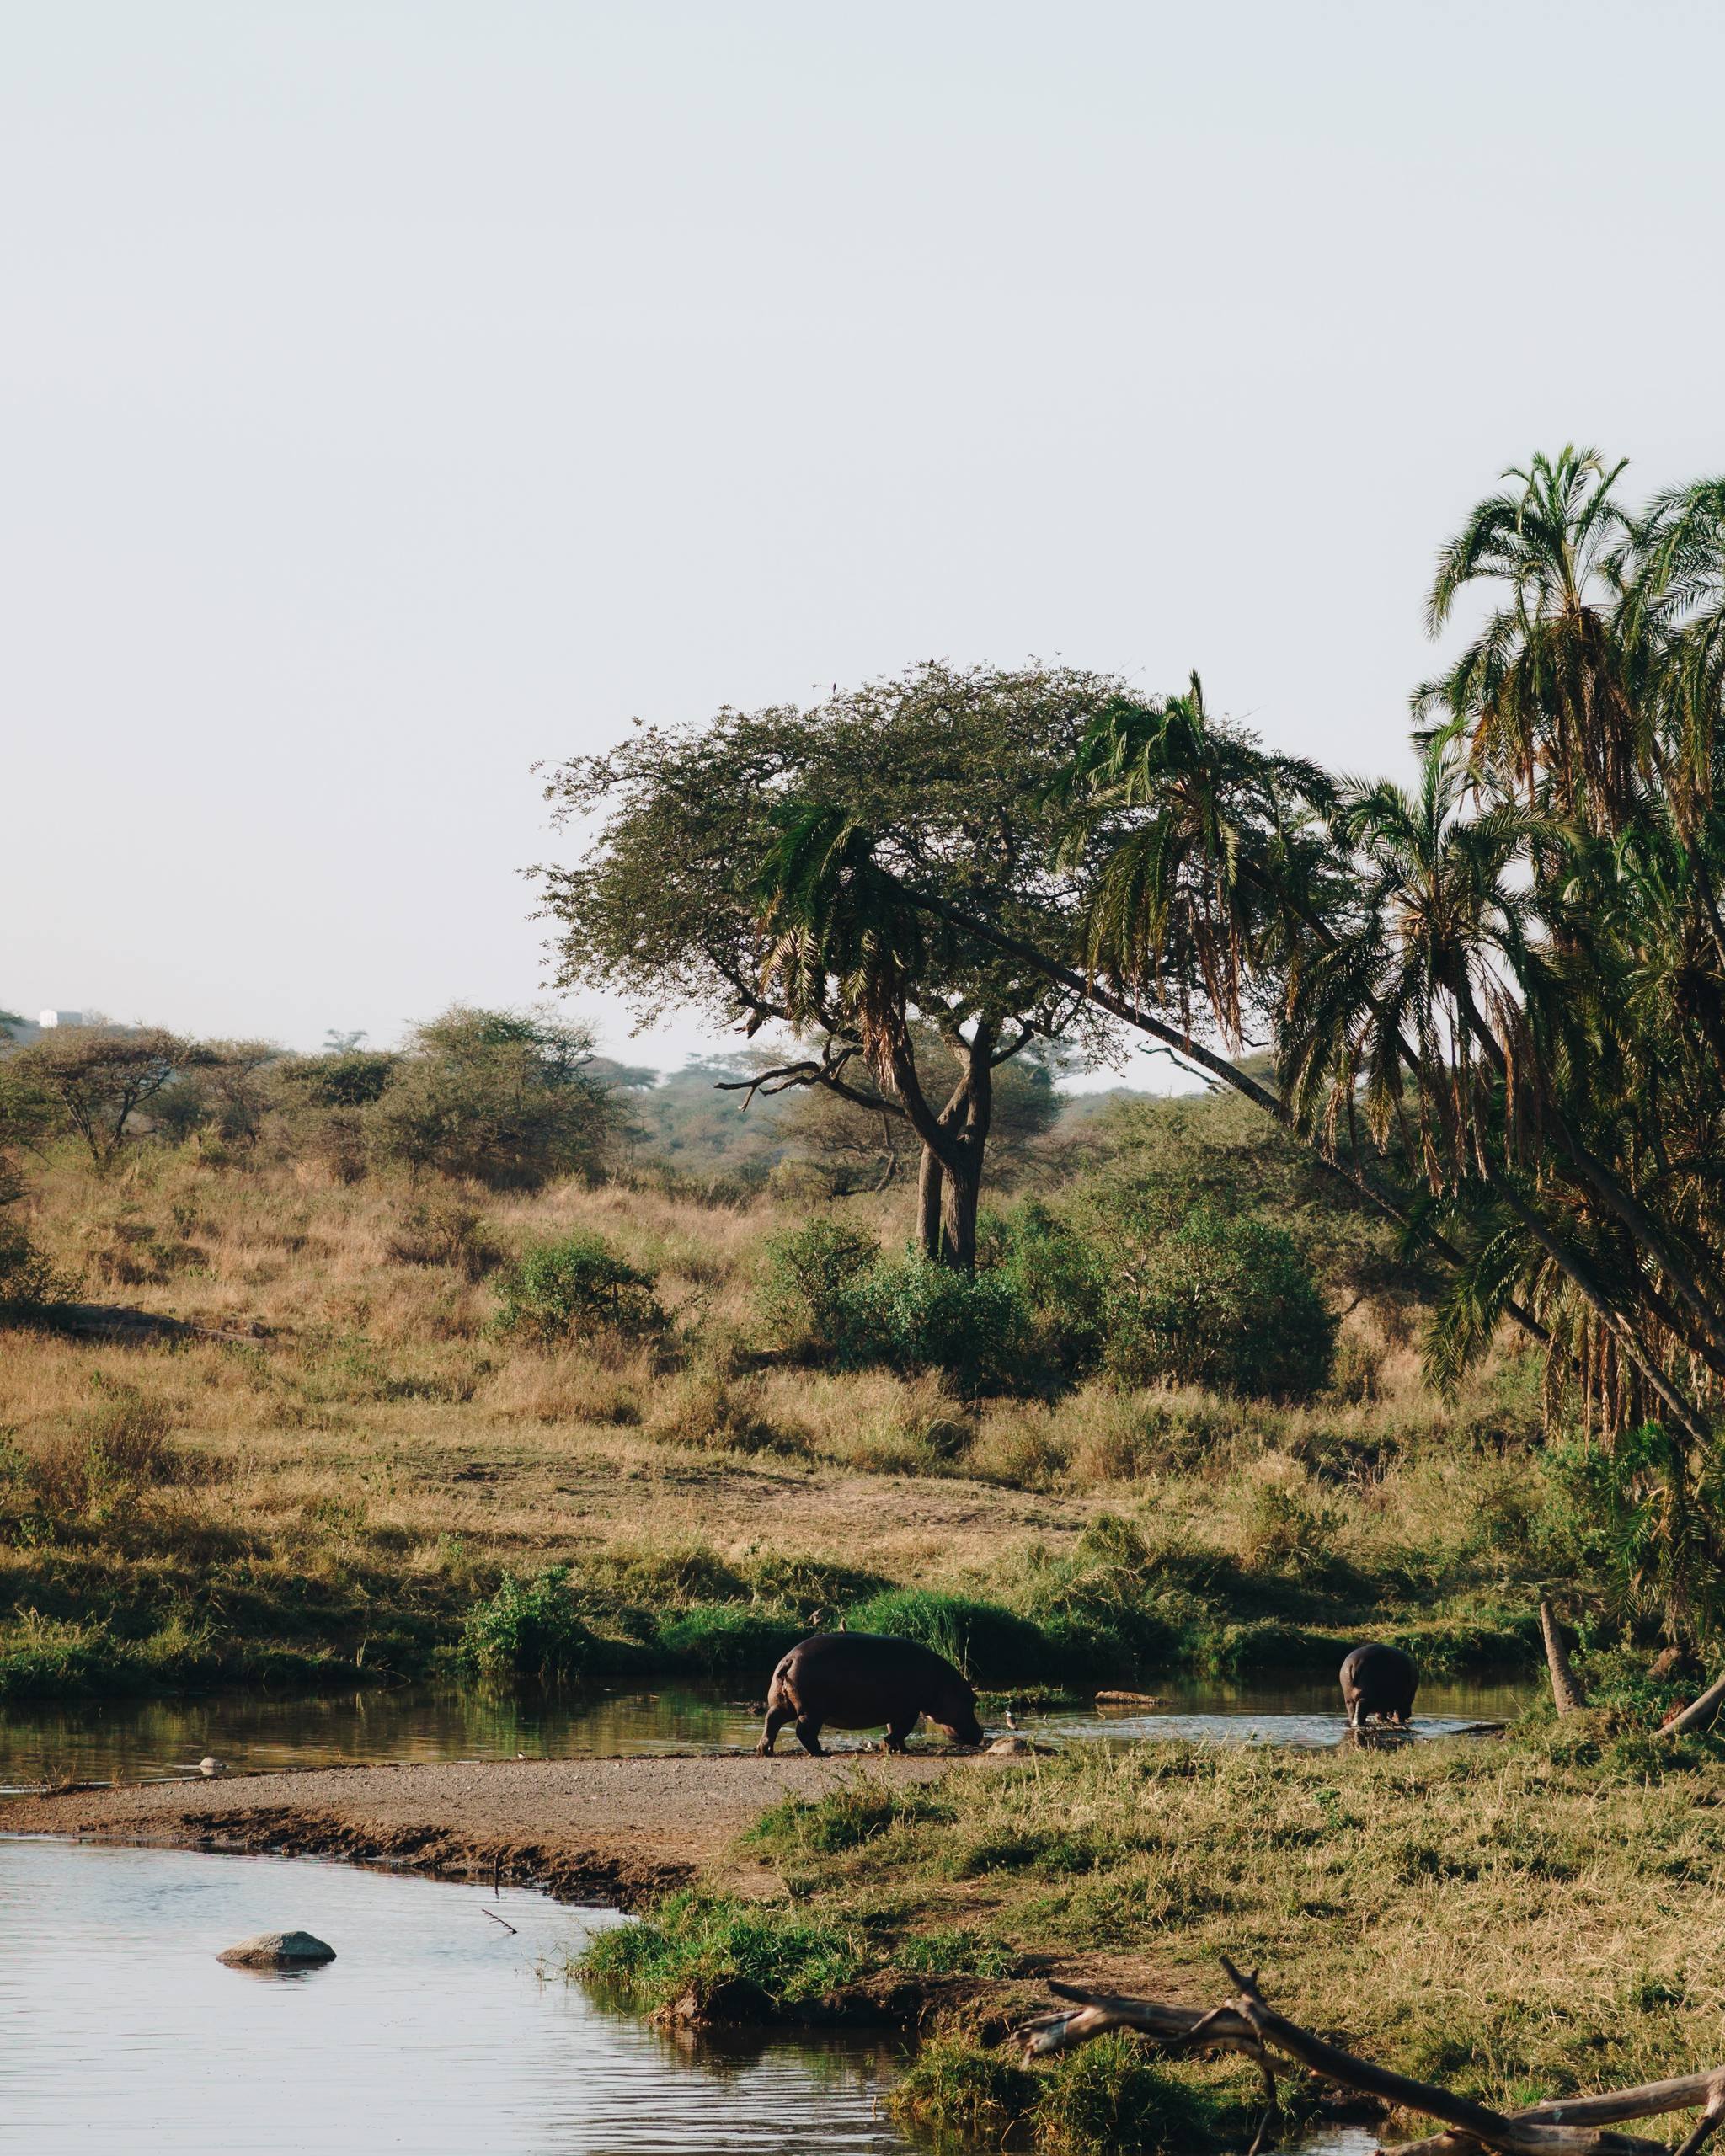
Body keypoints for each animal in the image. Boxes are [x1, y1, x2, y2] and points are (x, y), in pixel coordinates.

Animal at [755, 1630, 983, 1750]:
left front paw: (901, 1749)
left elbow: (895, 1729)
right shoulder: (910, 1709)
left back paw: (764, 1750)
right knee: (804, 1732)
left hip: (783, 1705)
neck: (943, 1683)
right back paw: (821, 1753)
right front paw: (887, 1745)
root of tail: (790, 1659)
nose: (981, 1735)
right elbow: (902, 1730)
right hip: (812, 1711)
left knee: (771, 1721)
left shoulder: (897, 1710)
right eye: (973, 1700)